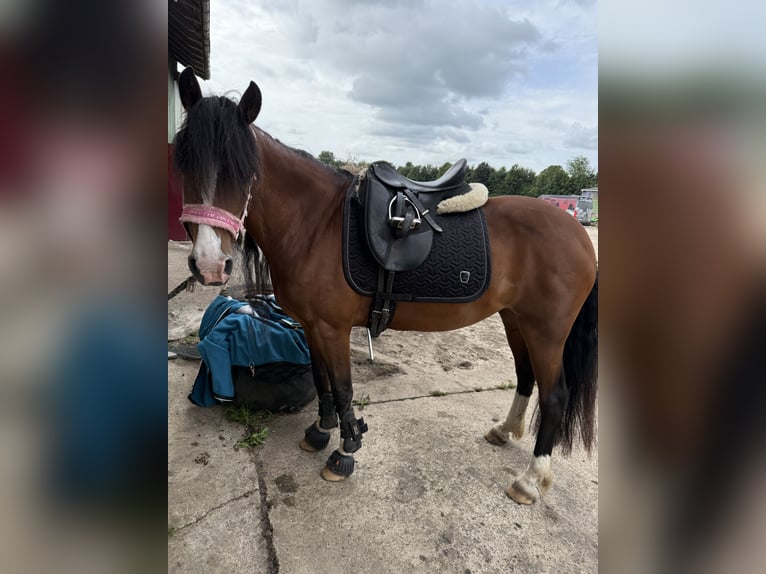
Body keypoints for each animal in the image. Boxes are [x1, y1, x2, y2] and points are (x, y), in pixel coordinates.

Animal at [172, 67, 598, 505]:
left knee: (555, 396)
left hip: (547, 331)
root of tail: (578, 232)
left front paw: (345, 452)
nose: (209, 264)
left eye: (245, 170)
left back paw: (530, 479)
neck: (316, 224)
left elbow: (343, 387)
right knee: (525, 376)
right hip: (516, 319)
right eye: (182, 161)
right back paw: (504, 430)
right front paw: (321, 432)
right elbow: (322, 381)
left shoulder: (333, 328)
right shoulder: (310, 326)